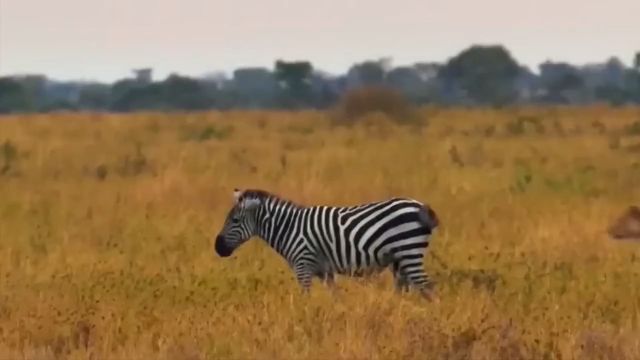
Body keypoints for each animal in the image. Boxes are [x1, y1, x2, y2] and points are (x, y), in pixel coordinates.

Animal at [215, 188, 440, 298]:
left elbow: (305, 298)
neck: (288, 227)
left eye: (234, 220)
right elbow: (335, 297)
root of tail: (420, 205)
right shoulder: (325, 272)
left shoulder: (303, 265)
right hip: (400, 260)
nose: (217, 248)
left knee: (427, 287)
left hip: (409, 251)